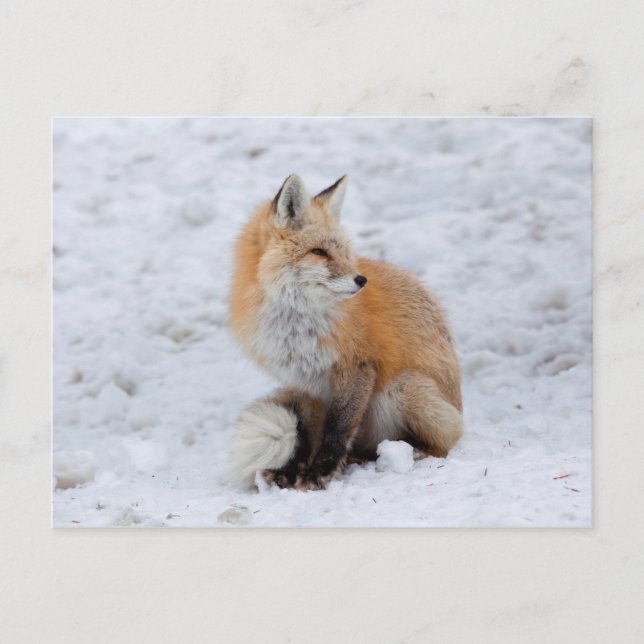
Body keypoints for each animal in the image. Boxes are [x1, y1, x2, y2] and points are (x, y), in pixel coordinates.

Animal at [228, 174, 463, 490]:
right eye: (319, 252)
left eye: (343, 253)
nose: (361, 280)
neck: (296, 326)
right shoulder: (303, 382)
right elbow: (306, 434)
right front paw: (291, 471)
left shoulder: (357, 364)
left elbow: (338, 427)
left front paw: (320, 471)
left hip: (405, 388)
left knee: (443, 445)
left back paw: (402, 453)